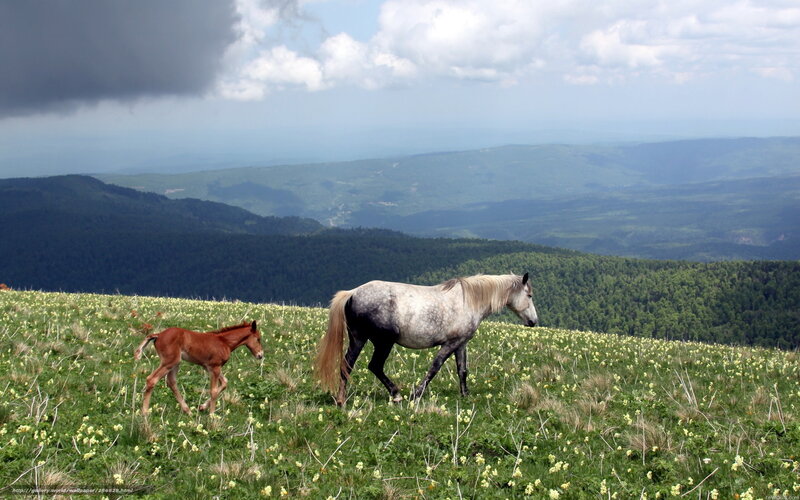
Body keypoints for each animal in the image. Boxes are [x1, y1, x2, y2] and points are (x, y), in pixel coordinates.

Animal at [134, 321, 263, 414]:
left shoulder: (209, 367)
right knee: (152, 380)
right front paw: (212, 417)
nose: (260, 355)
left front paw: (202, 407)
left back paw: (188, 411)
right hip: (169, 362)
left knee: (171, 382)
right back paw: (145, 413)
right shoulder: (215, 367)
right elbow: (214, 391)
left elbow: (225, 383)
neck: (224, 342)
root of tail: (158, 335)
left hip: (175, 363)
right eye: (258, 339)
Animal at [314, 273, 538, 406]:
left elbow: (462, 370)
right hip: (384, 342)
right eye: (529, 295)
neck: (468, 300)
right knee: (375, 365)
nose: (534, 321)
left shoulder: (461, 343)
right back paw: (396, 394)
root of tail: (353, 293)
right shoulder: (450, 343)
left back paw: (341, 400)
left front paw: (465, 394)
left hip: (358, 339)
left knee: (347, 365)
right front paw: (417, 394)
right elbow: (435, 367)